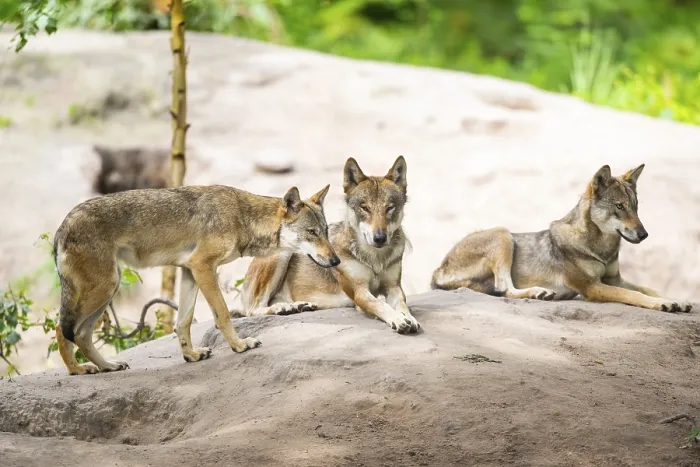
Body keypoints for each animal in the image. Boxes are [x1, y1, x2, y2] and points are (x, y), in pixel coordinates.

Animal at [54, 184, 340, 375]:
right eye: (312, 233)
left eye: (325, 231)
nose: (337, 261)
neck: (242, 217)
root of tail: (62, 226)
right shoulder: (203, 267)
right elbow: (222, 314)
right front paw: (240, 345)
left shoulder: (189, 271)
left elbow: (183, 321)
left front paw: (190, 354)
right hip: (106, 286)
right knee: (63, 328)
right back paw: (77, 370)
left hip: (107, 289)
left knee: (81, 334)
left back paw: (106, 366)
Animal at [240, 156, 420, 334]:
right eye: (365, 208)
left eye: (389, 208)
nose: (379, 238)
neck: (375, 259)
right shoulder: (360, 292)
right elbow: (380, 304)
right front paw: (398, 319)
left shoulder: (394, 288)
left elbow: (403, 305)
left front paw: (409, 318)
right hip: (283, 253)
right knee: (253, 310)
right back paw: (283, 308)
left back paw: (298, 306)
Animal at [431, 164, 693, 313]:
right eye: (619, 206)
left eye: (636, 207)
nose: (644, 234)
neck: (600, 249)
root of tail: (437, 271)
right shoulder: (592, 287)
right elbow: (635, 295)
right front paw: (662, 305)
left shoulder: (614, 279)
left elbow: (648, 288)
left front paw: (677, 300)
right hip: (503, 233)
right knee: (504, 288)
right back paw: (539, 292)